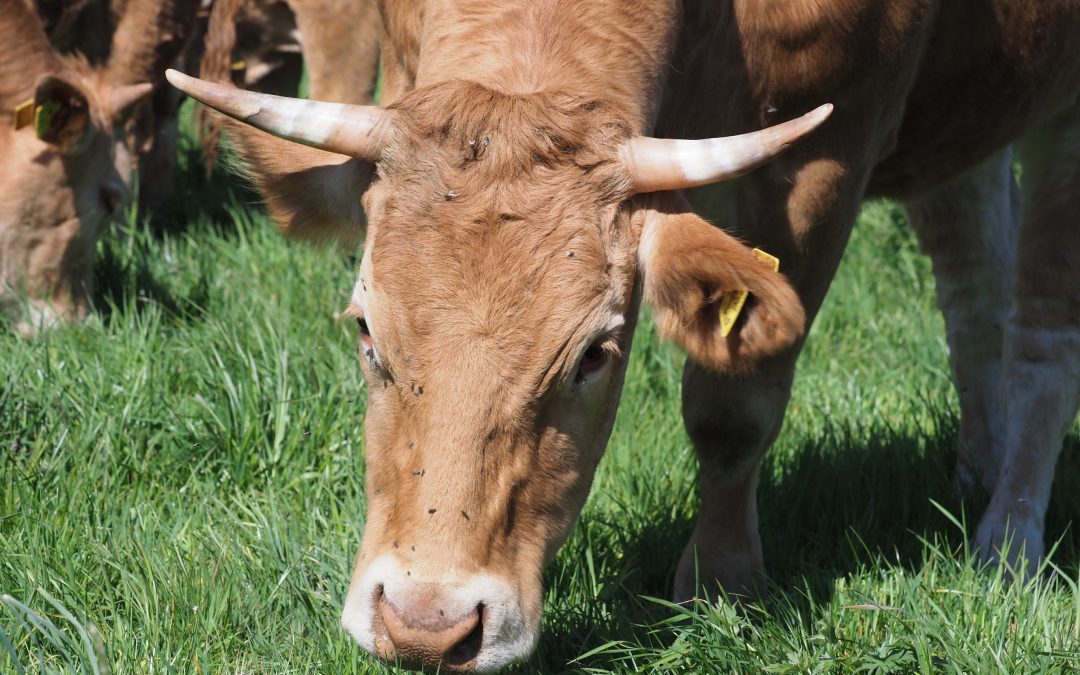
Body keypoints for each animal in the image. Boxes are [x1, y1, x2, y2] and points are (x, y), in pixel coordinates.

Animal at [166, 1, 1080, 669]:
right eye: (365, 330)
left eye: (594, 355)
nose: (427, 624)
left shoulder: (825, 159)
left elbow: (734, 407)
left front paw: (720, 581)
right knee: (973, 278)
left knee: (1041, 333)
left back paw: (1006, 545)